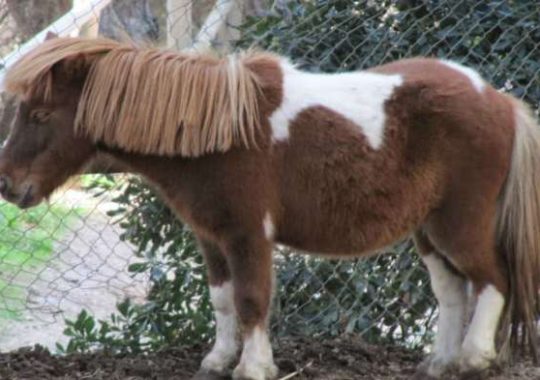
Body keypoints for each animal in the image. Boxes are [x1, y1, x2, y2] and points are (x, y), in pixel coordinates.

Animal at [1, 36, 540, 380]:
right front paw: (216, 362)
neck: (218, 131)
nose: (7, 184)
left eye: (42, 113)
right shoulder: (211, 237)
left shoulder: (248, 234)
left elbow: (251, 299)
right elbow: (221, 299)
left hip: (459, 224)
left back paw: (473, 360)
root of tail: (499, 101)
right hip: (428, 230)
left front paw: (254, 368)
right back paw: (438, 364)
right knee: (452, 291)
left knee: (493, 279)